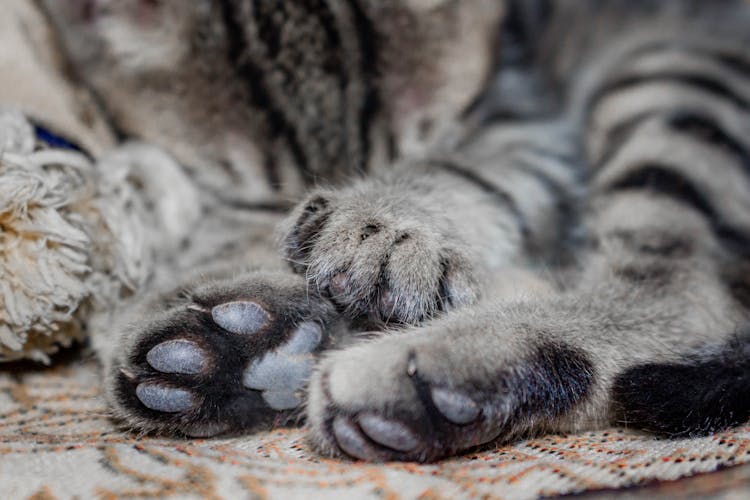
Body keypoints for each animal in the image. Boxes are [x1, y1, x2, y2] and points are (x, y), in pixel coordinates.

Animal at [39, 0, 750, 460]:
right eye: (262, 197)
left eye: (419, 146)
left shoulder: (527, 125)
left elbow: (465, 173)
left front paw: (382, 226)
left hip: (682, 75)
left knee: (680, 299)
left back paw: (437, 371)